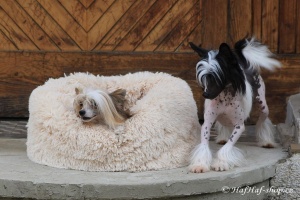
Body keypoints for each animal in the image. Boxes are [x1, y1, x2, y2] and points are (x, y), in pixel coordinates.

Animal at [189, 38, 280, 173]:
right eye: (204, 77)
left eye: (217, 77)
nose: (205, 94)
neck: (224, 96)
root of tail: (245, 63)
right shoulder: (207, 123)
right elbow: (204, 144)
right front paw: (200, 164)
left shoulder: (239, 126)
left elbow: (228, 146)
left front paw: (221, 162)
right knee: (224, 123)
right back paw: (223, 137)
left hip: (263, 106)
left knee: (262, 120)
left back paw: (266, 141)